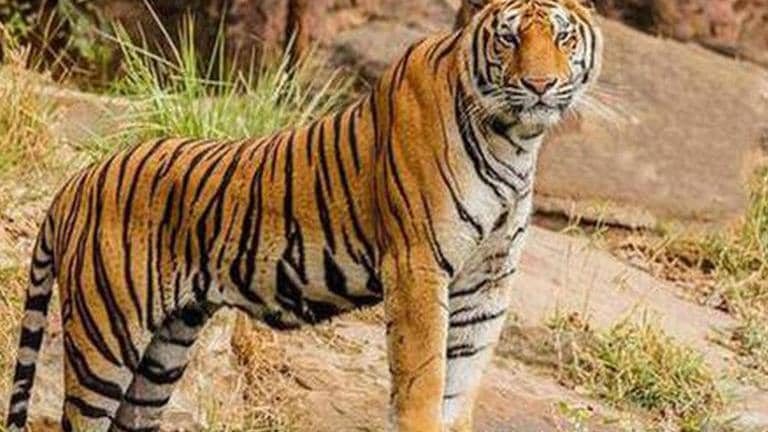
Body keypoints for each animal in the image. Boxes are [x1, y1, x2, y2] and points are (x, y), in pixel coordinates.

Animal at [5, 0, 602, 430]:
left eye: (562, 37)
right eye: (509, 38)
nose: (540, 85)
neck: (515, 140)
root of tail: (77, 181)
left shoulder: (488, 282)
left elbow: (461, 383)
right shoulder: (417, 266)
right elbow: (424, 381)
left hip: (164, 349)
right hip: (106, 337)